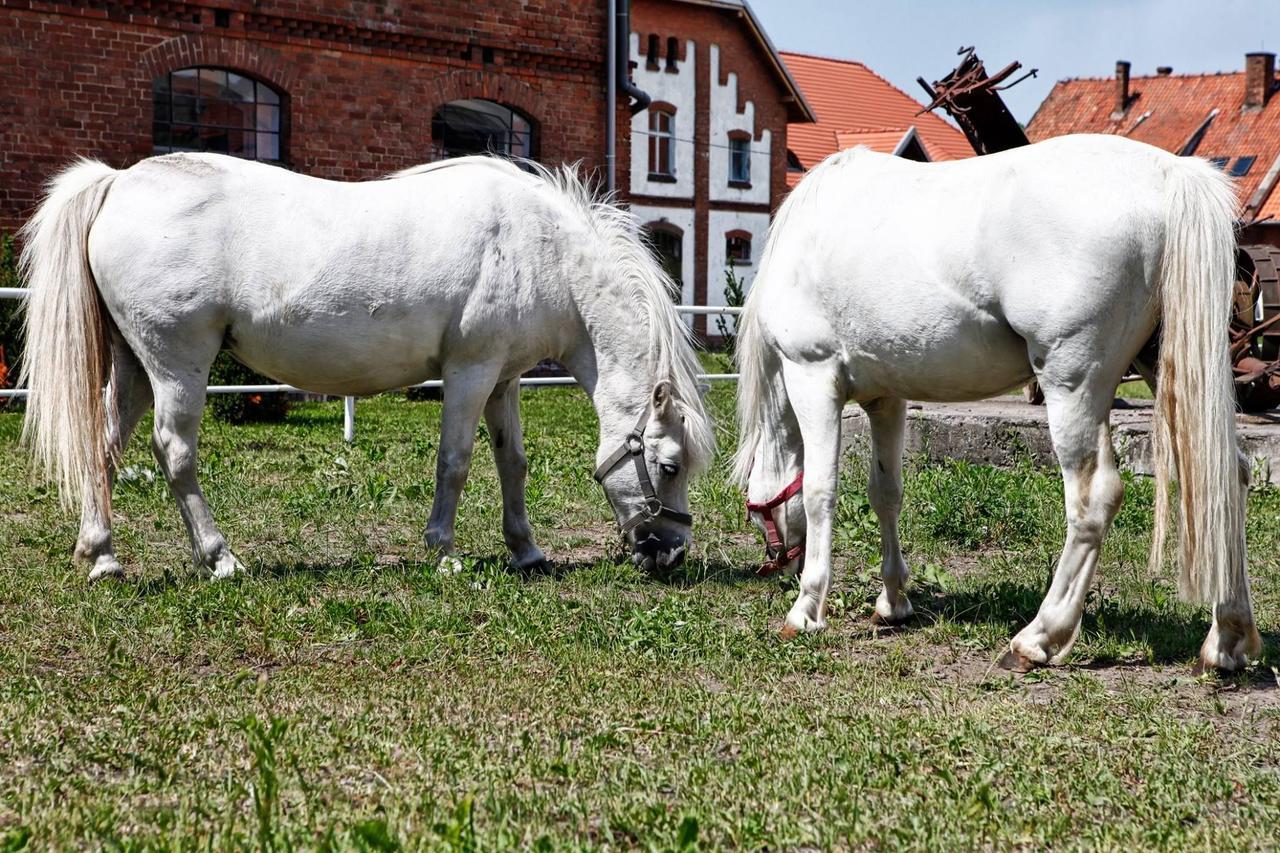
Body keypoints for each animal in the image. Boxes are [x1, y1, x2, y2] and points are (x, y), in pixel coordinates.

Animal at [20, 153, 716, 578]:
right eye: (669, 464)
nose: (672, 554)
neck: (538, 248)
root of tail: (118, 182)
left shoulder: (504, 378)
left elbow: (511, 463)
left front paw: (527, 551)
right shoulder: (469, 372)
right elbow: (456, 462)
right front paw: (443, 552)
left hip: (136, 366)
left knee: (104, 444)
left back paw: (102, 555)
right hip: (176, 366)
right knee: (174, 452)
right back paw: (219, 558)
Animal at [737, 134, 1264, 671]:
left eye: (753, 506)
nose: (775, 565)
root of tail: (1170, 173)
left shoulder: (812, 376)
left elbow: (820, 491)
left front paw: (806, 609)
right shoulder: (887, 399)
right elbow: (886, 493)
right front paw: (893, 602)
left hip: (1073, 387)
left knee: (1094, 499)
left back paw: (1038, 638)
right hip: (1167, 369)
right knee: (1228, 474)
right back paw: (1226, 640)